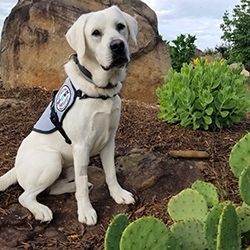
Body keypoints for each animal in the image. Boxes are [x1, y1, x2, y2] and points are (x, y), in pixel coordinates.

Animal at [0, 5, 137, 226]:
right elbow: (82, 181)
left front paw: (119, 195)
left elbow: (111, 173)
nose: (118, 45)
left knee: (56, 188)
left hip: (70, 162)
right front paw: (86, 212)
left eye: (120, 27)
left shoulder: (109, 141)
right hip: (53, 160)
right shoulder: (81, 145)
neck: (99, 89)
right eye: (95, 33)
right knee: (26, 196)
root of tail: (15, 166)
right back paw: (42, 210)